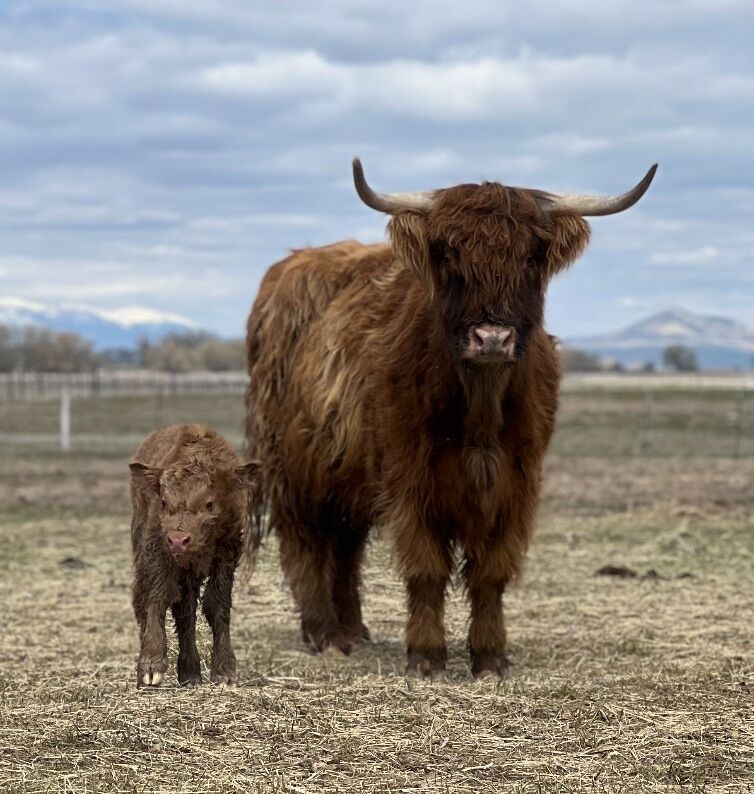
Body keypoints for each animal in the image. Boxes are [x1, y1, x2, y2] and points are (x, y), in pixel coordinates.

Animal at [130, 424, 259, 687]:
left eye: (209, 503)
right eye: (164, 502)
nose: (179, 540)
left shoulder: (226, 557)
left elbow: (216, 605)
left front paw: (224, 670)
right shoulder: (158, 552)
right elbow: (157, 597)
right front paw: (150, 665)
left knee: (185, 611)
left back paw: (190, 673)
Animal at [245, 159, 657, 678]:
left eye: (532, 255)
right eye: (447, 254)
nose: (492, 338)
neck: (480, 409)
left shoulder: (517, 486)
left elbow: (492, 574)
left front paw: (490, 656)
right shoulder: (409, 482)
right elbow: (426, 568)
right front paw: (425, 656)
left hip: (347, 475)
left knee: (346, 546)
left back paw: (353, 631)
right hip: (296, 470)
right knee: (305, 545)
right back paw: (323, 633)